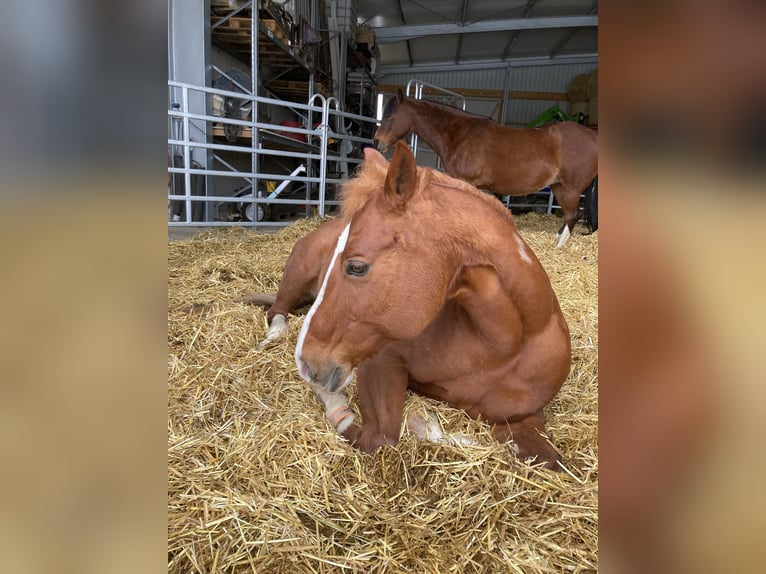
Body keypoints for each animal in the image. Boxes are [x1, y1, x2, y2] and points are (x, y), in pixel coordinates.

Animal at [264, 142, 571, 469]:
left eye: (356, 267)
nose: (305, 362)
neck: (501, 349)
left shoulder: (525, 417)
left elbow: (546, 459)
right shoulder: (381, 360)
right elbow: (381, 436)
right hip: (297, 277)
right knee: (277, 310)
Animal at [374, 89, 598, 247]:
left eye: (390, 116)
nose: (377, 142)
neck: (461, 135)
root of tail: (593, 137)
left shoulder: (467, 182)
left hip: (571, 189)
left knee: (573, 215)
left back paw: (557, 247)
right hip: (559, 187)